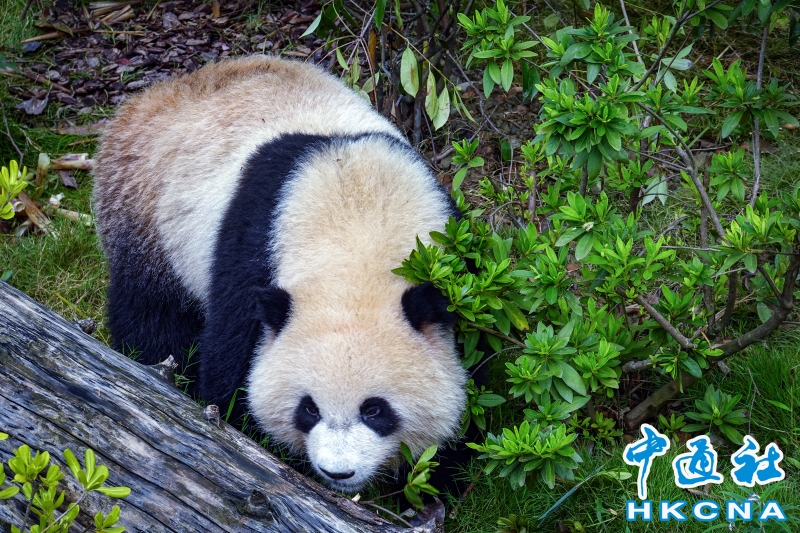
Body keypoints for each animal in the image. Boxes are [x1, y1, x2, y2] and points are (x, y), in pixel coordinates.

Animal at [93, 55, 468, 491]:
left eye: (375, 410)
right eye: (309, 409)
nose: (338, 472)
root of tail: (150, 97)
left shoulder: (455, 253)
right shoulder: (251, 251)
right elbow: (230, 366)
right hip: (147, 219)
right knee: (152, 314)